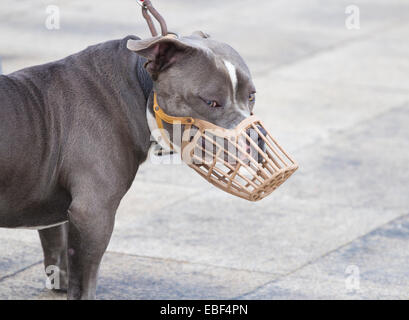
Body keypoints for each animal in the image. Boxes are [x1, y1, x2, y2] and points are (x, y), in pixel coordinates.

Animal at [0, 31, 255, 298]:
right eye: (211, 102)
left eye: (251, 96)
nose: (254, 138)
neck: (139, 88)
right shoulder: (92, 215)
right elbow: (84, 283)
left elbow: (56, 248)